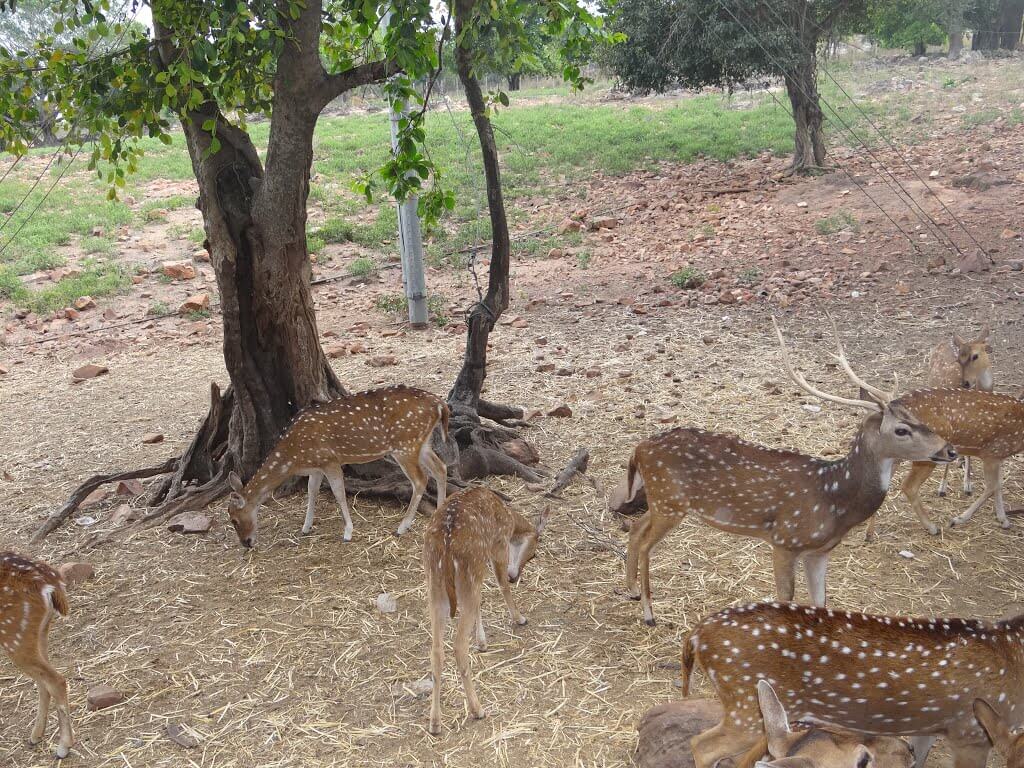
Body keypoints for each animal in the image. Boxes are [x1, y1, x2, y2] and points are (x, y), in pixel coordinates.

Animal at [0, 552, 73, 759]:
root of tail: (51, 583)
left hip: (13, 635)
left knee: (55, 680)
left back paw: (63, 747)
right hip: (39, 632)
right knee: (43, 682)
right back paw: (35, 736)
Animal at [226, 385, 449, 548]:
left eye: (234, 520)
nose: (246, 543)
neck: (294, 456)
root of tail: (440, 405)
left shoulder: (329, 460)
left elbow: (338, 493)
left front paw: (348, 532)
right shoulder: (316, 467)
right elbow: (312, 491)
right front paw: (306, 527)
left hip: (405, 445)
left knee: (421, 479)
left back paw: (402, 527)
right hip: (422, 443)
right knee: (441, 468)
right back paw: (439, 512)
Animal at [422, 486, 550, 735]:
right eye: (533, 554)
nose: (515, 577)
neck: (510, 520)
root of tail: (446, 549)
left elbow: (482, 600)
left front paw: (482, 642)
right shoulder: (498, 544)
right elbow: (500, 585)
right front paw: (519, 618)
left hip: (435, 587)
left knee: (436, 649)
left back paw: (435, 723)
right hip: (467, 573)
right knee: (458, 646)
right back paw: (477, 709)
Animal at [620, 318, 956, 626]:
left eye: (917, 417)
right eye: (901, 430)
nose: (949, 450)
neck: (835, 500)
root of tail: (638, 448)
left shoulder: (819, 551)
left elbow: (821, 602)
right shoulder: (784, 539)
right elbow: (786, 597)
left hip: (661, 501)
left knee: (636, 529)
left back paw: (632, 590)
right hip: (669, 501)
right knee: (647, 544)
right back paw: (648, 612)